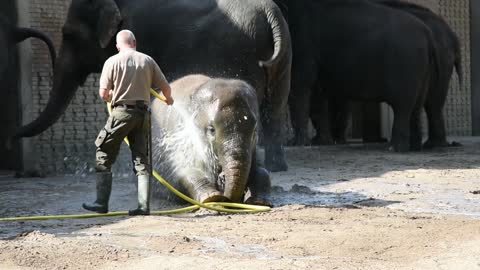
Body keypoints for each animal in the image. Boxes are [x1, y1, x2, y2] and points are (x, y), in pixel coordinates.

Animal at [12, 0, 292, 172]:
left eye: (69, 35)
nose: (10, 137)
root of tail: (271, 13)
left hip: (240, 52)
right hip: (281, 58)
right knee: (275, 109)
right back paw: (277, 166)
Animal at [150, 74, 270, 205]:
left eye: (254, 131)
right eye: (211, 130)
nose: (222, 178)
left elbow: (262, 171)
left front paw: (258, 202)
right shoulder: (177, 138)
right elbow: (185, 171)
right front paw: (212, 198)